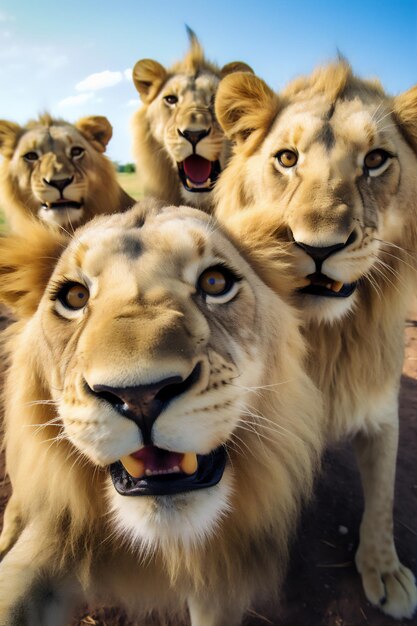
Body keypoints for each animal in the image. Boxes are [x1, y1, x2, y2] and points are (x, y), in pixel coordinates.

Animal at [213, 61, 416, 616]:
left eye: (375, 160)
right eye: (287, 158)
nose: (318, 247)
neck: (326, 336)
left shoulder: (382, 408)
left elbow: (384, 495)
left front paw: (385, 570)